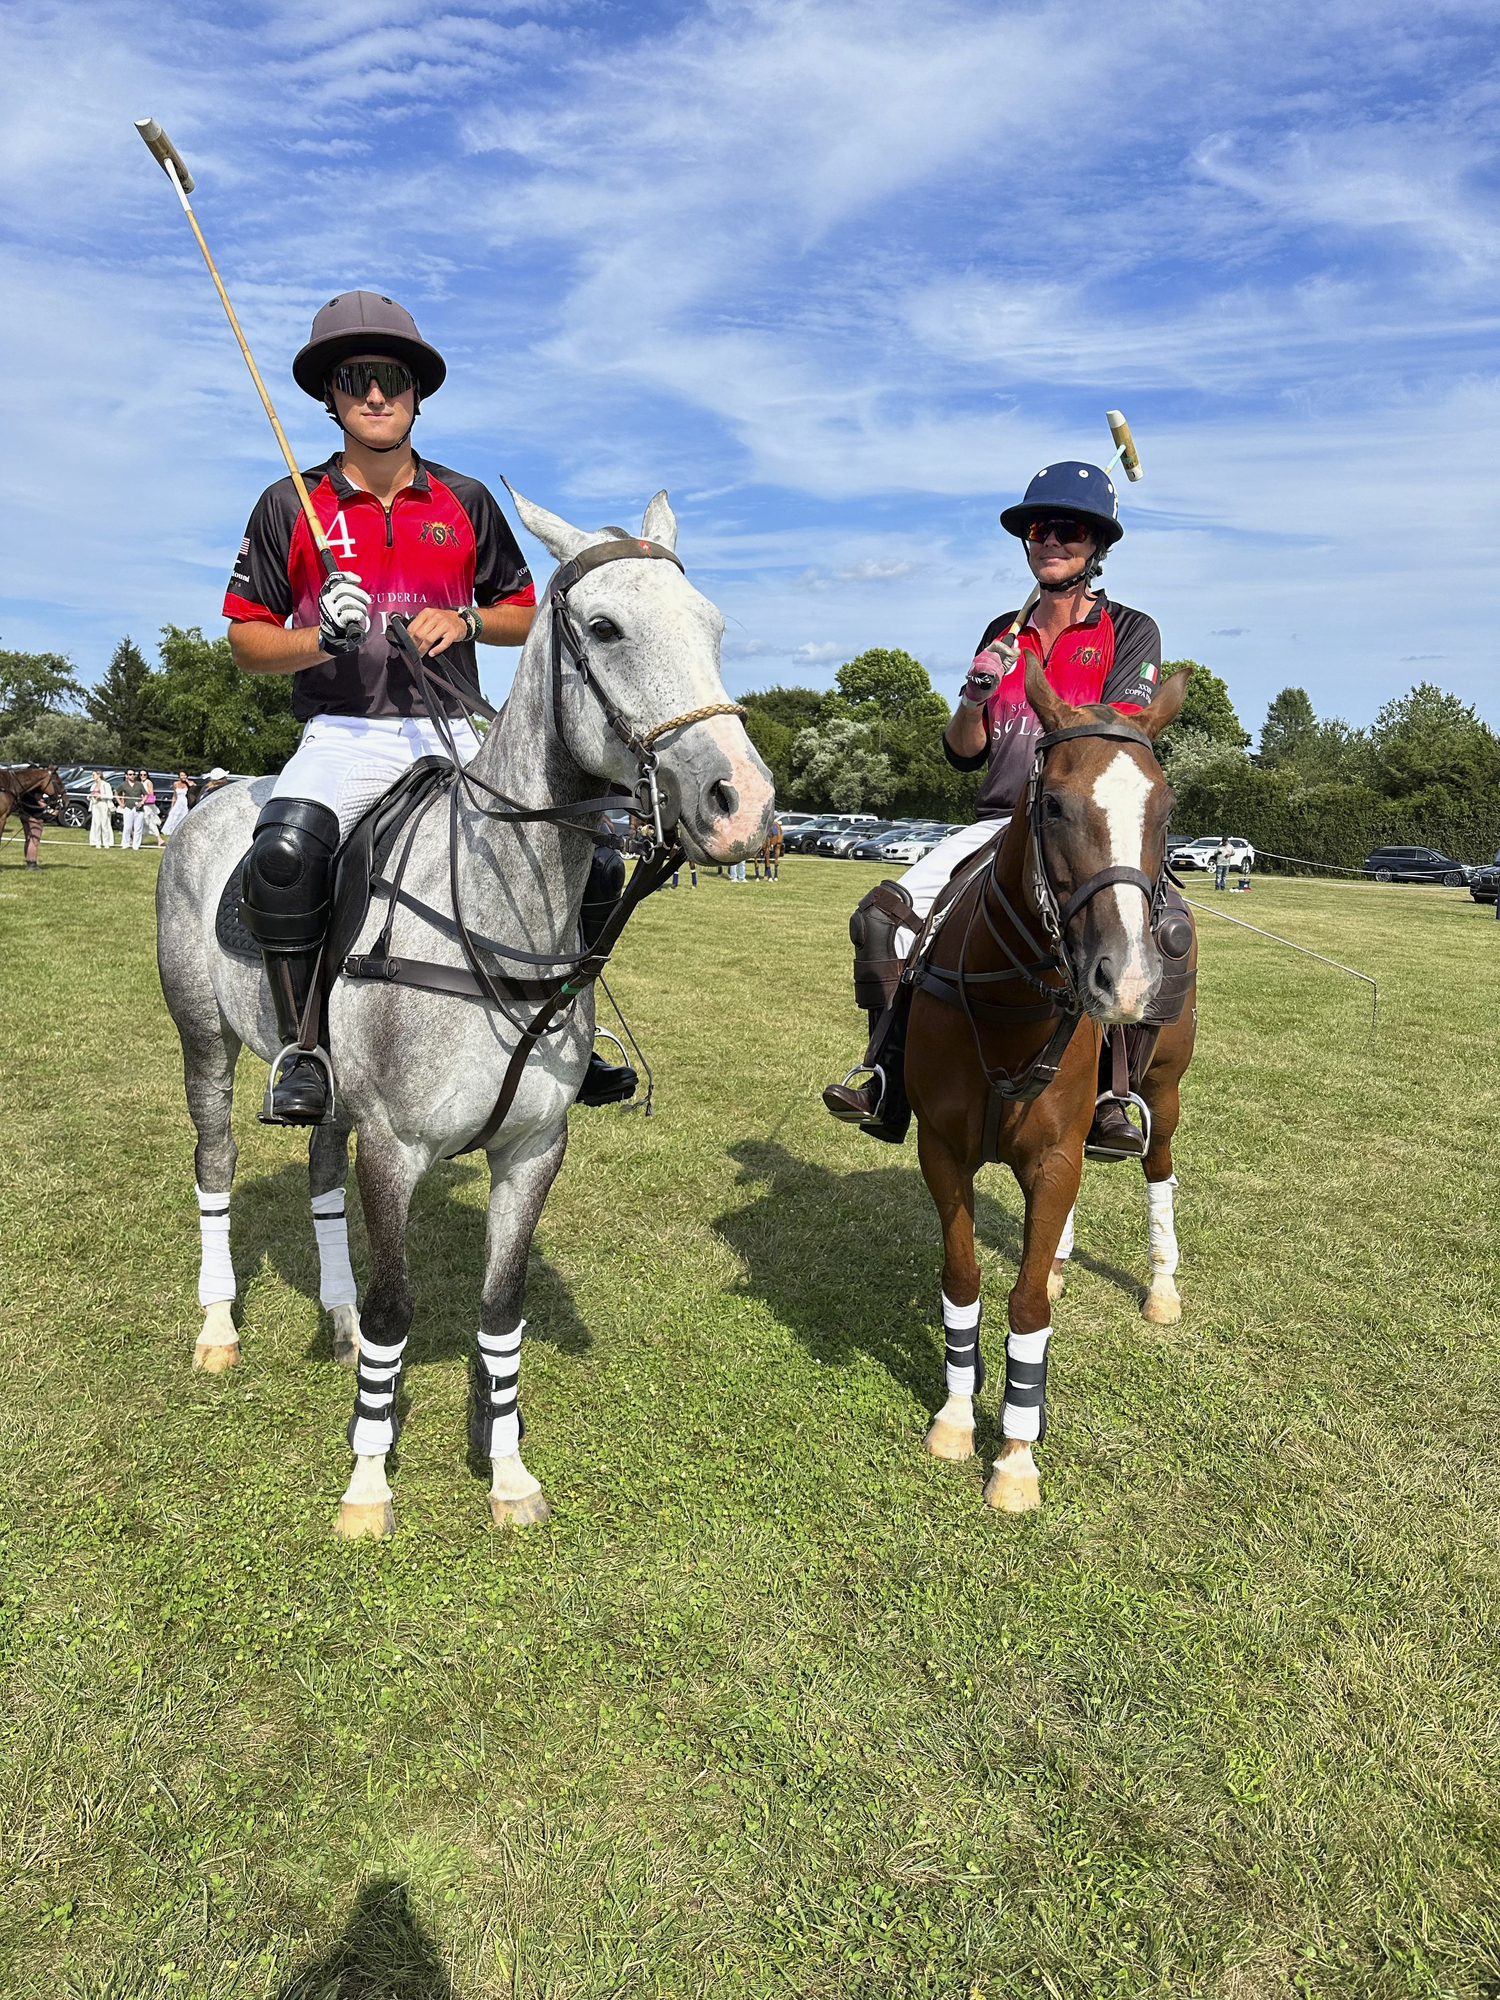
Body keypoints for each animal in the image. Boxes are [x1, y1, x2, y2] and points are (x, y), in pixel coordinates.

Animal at [159, 492, 776, 1536]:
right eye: (604, 628)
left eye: (716, 629)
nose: (746, 808)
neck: (498, 915)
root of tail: (214, 800)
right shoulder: (394, 1145)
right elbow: (397, 1309)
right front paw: (368, 1484)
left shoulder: (531, 1148)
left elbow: (499, 1306)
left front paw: (508, 1470)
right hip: (202, 1036)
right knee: (215, 1161)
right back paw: (217, 1328)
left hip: (327, 1083)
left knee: (317, 1163)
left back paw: (329, 1317)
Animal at [904, 656, 1200, 1512]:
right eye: (1057, 804)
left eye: (1168, 809)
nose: (1125, 981)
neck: (1014, 999)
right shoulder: (943, 1148)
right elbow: (964, 1278)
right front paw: (954, 1419)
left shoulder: (1058, 1155)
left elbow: (1026, 1303)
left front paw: (1015, 1455)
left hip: (1164, 1091)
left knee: (1159, 1167)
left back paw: (1162, 1287)